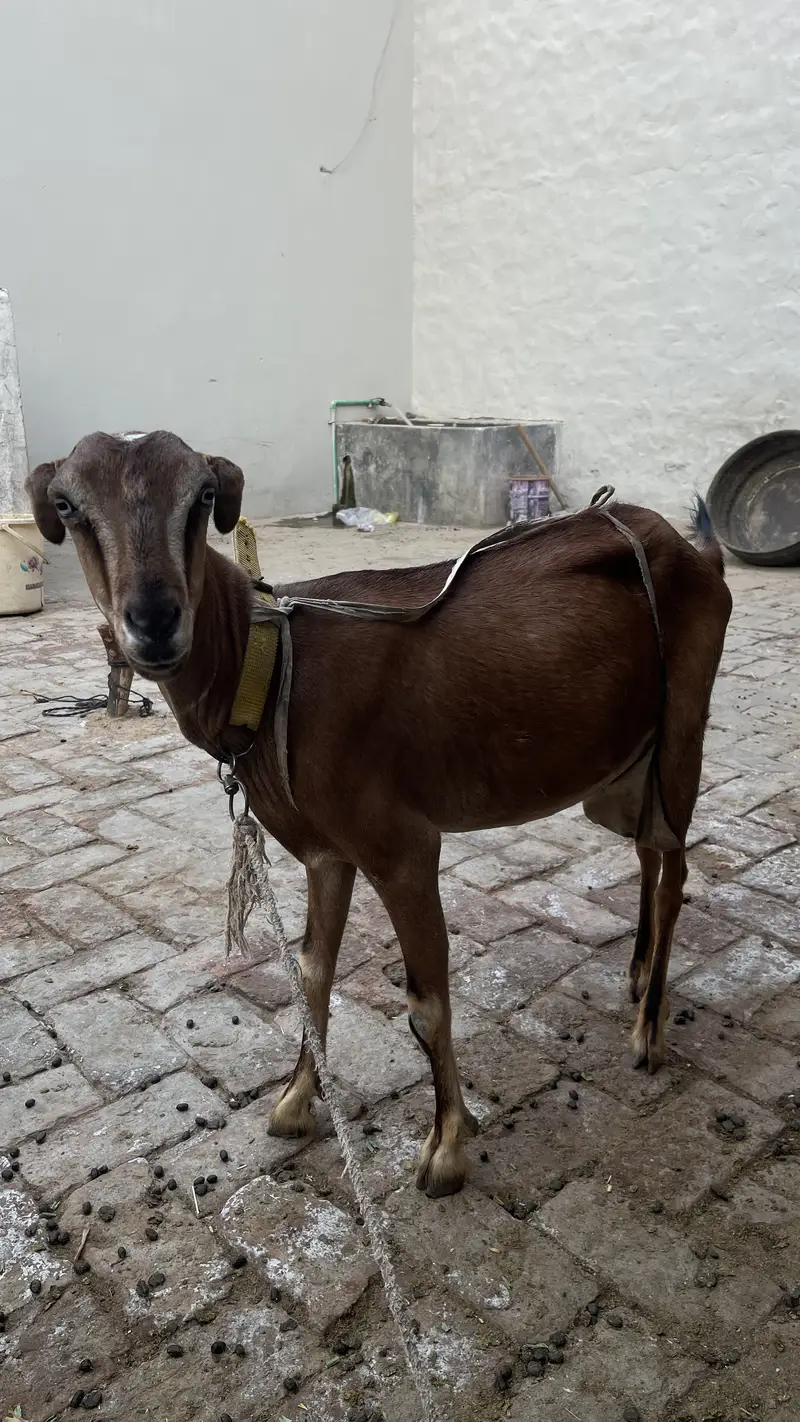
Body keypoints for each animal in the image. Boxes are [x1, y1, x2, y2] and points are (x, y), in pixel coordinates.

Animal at [27, 431, 731, 1198]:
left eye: (203, 496)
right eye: (67, 504)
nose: (154, 623)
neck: (275, 669)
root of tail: (699, 554)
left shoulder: (401, 847)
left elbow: (426, 1003)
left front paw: (446, 1149)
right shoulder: (327, 851)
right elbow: (312, 973)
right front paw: (295, 1104)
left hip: (682, 729)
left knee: (675, 870)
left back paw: (649, 1031)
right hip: (630, 757)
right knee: (648, 852)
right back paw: (636, 976)